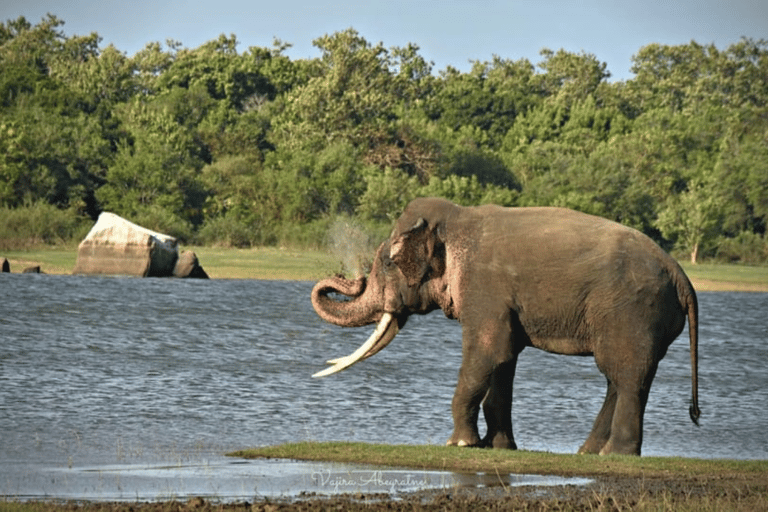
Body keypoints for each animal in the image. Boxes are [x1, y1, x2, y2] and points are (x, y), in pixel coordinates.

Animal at [308, 197, 700, 456]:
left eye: (388, 264)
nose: (352, 278)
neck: (459, 218)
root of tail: (682, 277)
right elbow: (504, 358)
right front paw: (498, 447)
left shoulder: (485, 289)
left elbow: (487, 351)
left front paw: (460, 444)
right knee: (621, 378)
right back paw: (589, 452)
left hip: (632, 311)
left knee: (625, 375)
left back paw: (614, 454)